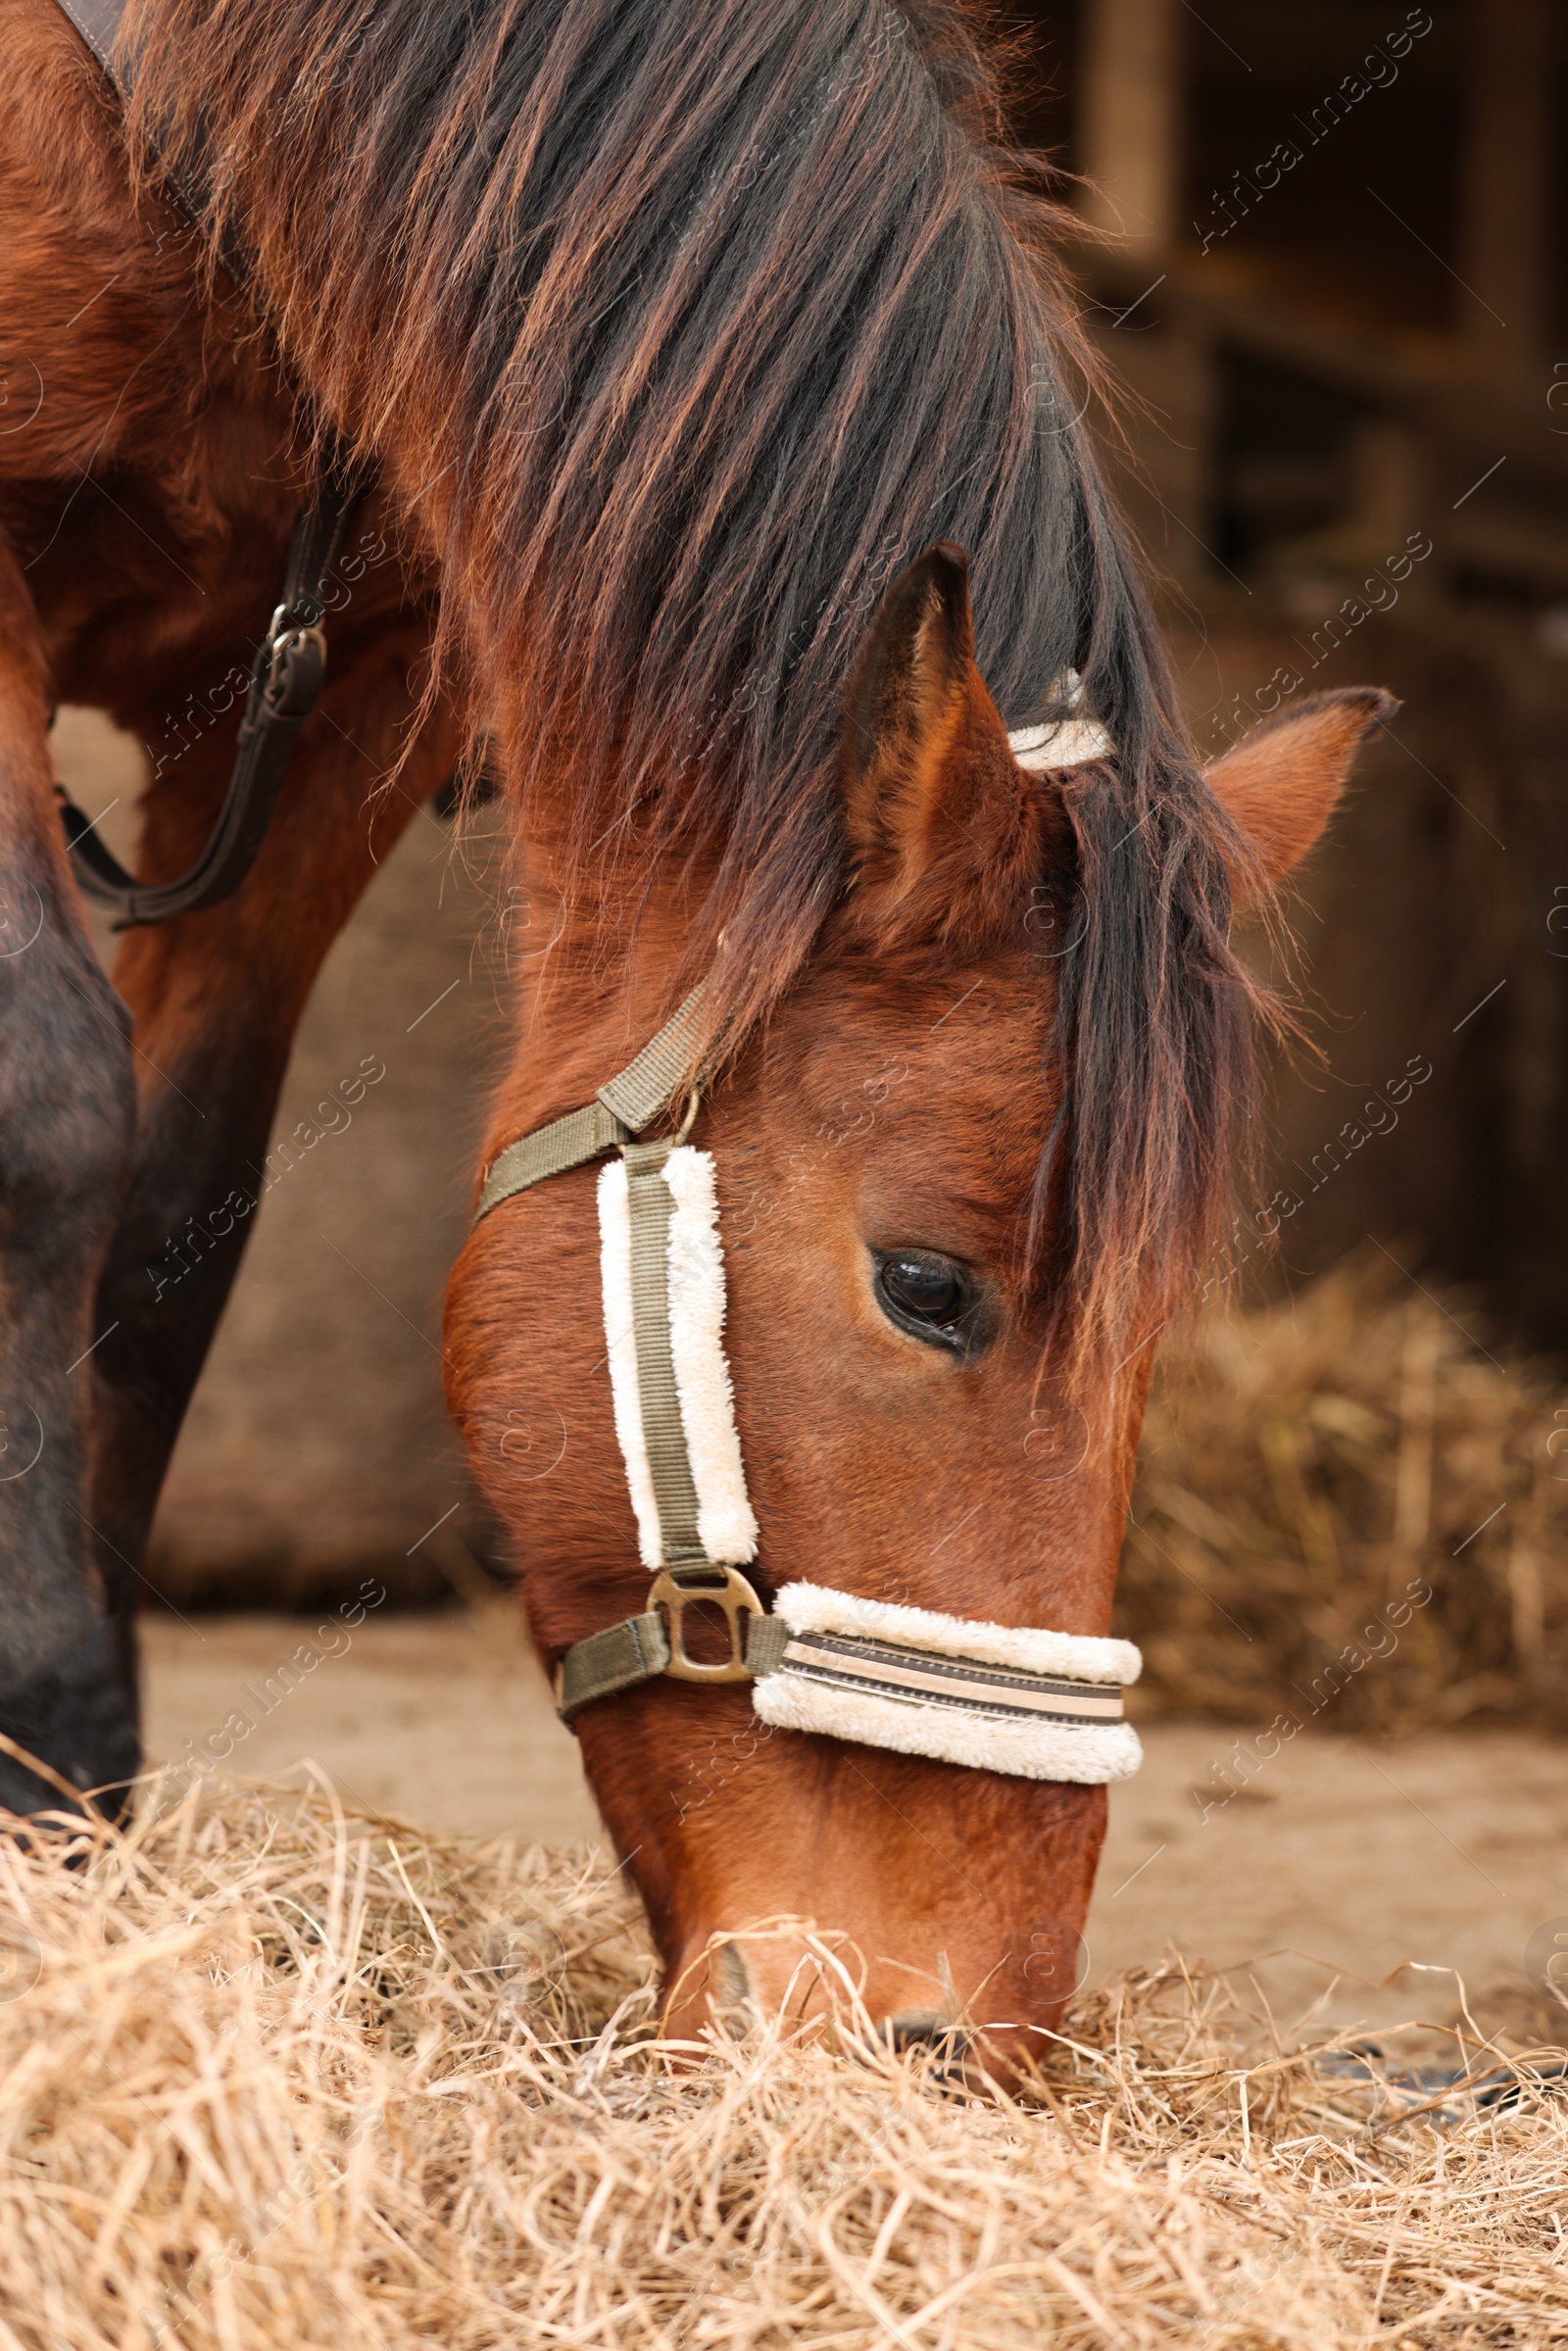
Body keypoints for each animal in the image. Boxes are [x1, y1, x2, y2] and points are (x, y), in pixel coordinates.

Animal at [0, 0, 1382, 2069]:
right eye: (927, 1286)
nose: (967, 2037)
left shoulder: (335, 700)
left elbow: (168, 1231)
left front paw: (87, 1832)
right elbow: (48, 1113)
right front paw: (39, 1766)